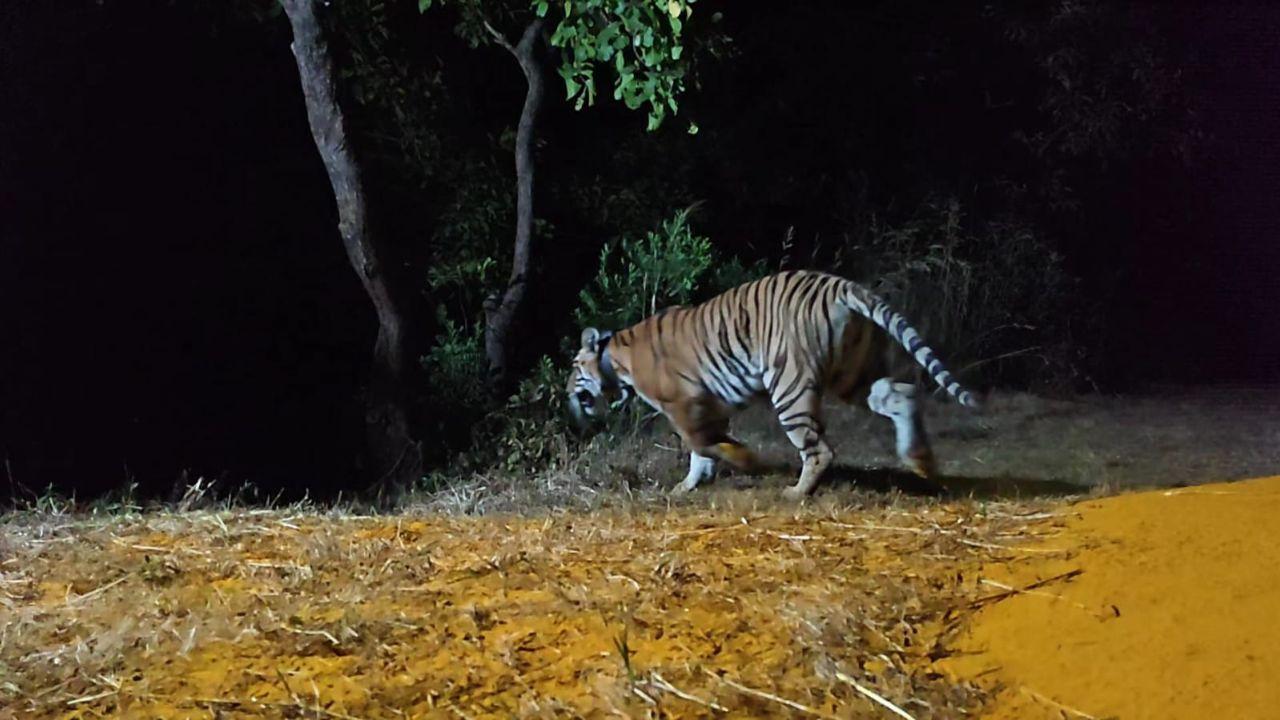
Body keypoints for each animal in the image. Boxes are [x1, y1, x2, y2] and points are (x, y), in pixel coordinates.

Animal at [566, 269, 981, 498]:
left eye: (574, 369)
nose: (566, 394)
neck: (616, 358)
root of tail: (841, 286)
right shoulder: (710, 405)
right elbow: (703, 450)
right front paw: (690, 484)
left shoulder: (683, 404)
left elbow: (699, 443)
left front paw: (744, 461)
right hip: (854, 375)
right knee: (903, 395)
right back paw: (920, 460)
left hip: (790, 385)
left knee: (820, 449)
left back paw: (796, 493)